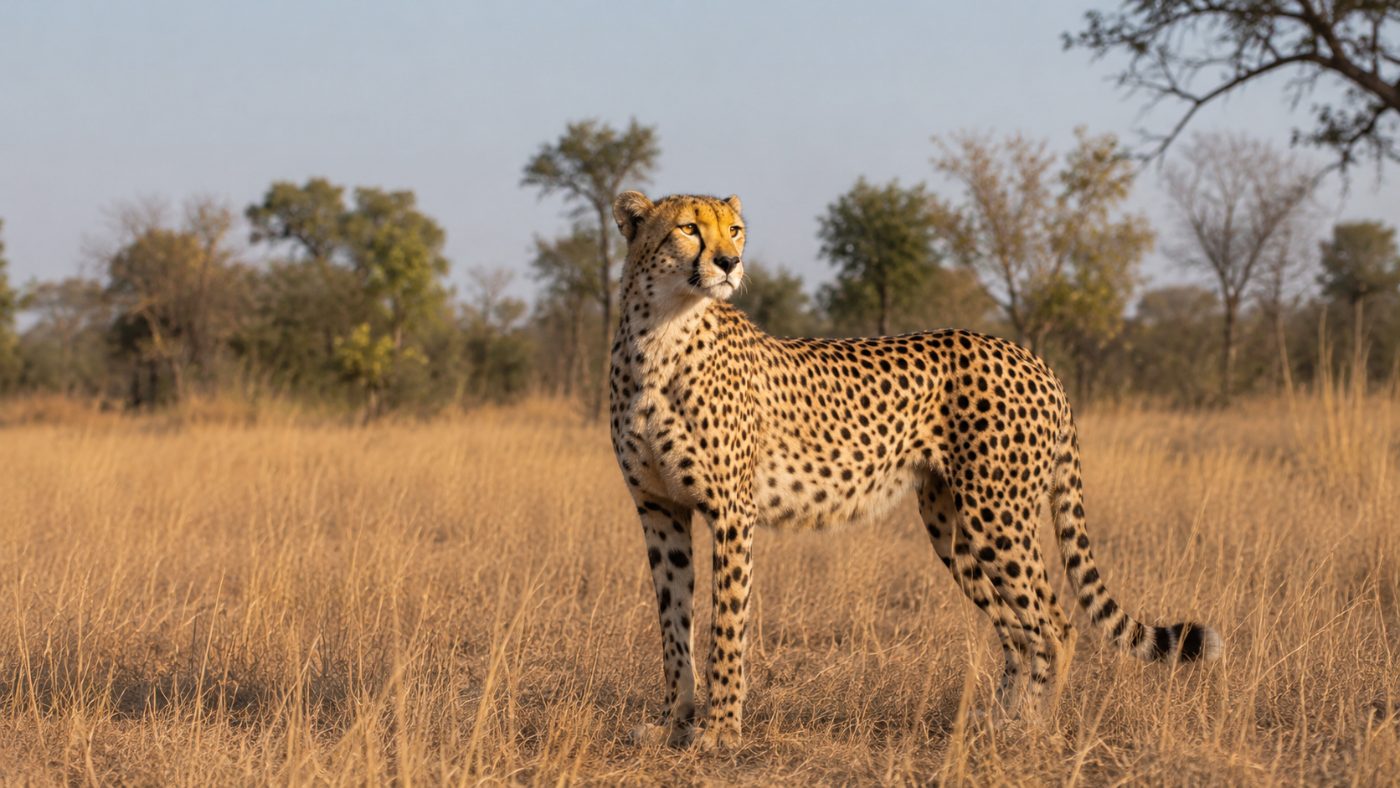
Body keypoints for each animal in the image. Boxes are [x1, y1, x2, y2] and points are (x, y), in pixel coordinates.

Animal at [607, 190, 1222, 751]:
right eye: (689, 227)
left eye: (734, 230)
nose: (729, 263)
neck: (661, 332)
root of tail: (1032, 358)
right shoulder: (659, 510)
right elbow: (673, 626)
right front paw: (672, 723)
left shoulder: (733, 514)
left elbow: (725, 626)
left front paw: (719, 731)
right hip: (953, 528)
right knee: (1017, 628)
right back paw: (997, 719)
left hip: (998, 517)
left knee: (1055, 624)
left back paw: (1031, 729)